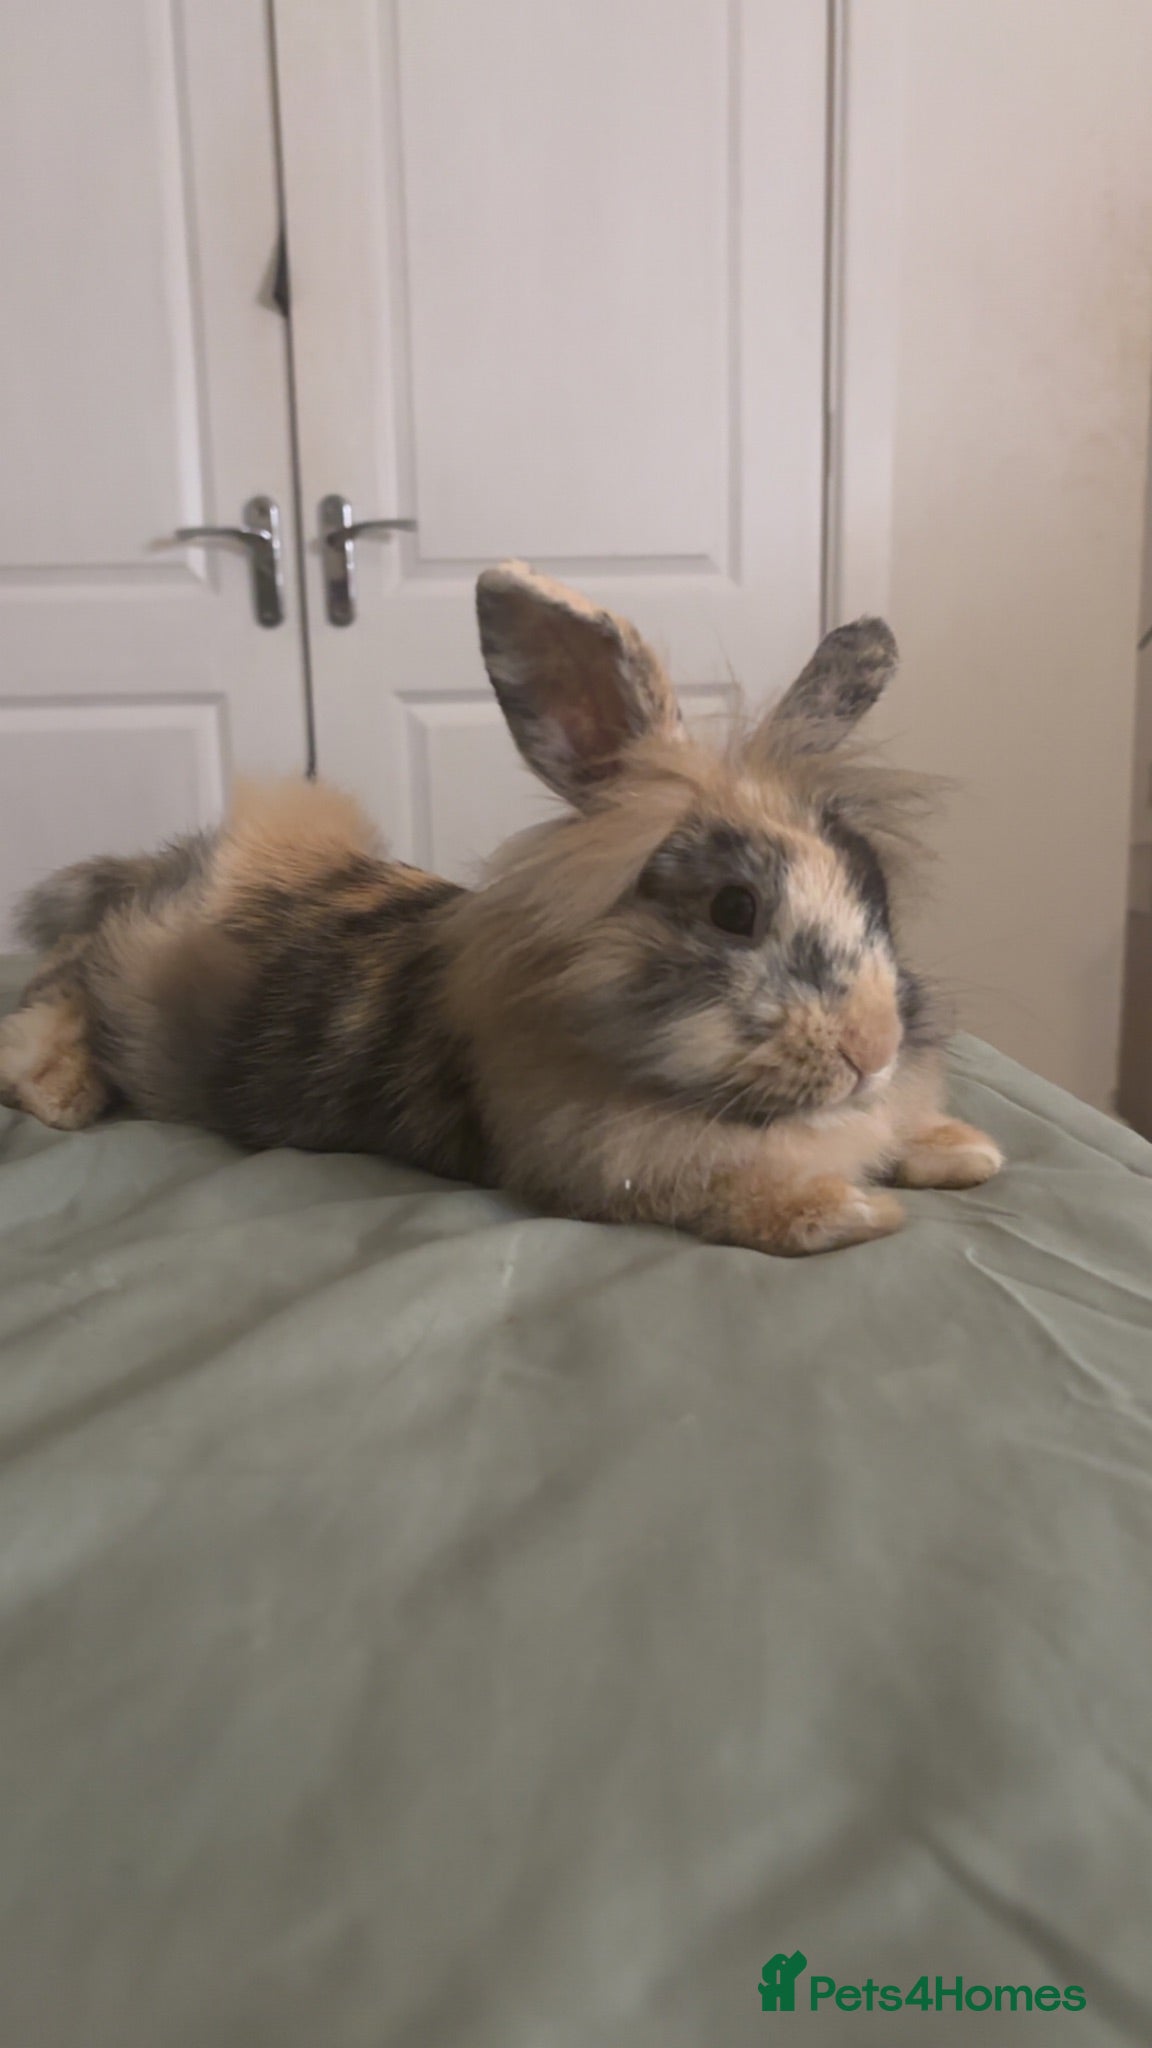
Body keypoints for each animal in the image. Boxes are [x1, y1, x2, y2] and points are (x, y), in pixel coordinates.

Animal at [0, 561, 1003, 1255]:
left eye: (876, 889)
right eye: (733, 908)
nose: (874, 1050)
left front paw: (963, 1150)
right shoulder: (605, 1164)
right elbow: (738, 1195)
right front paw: (853, 1211)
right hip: (118, 972)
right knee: (58, 988)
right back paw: (59, 1091)